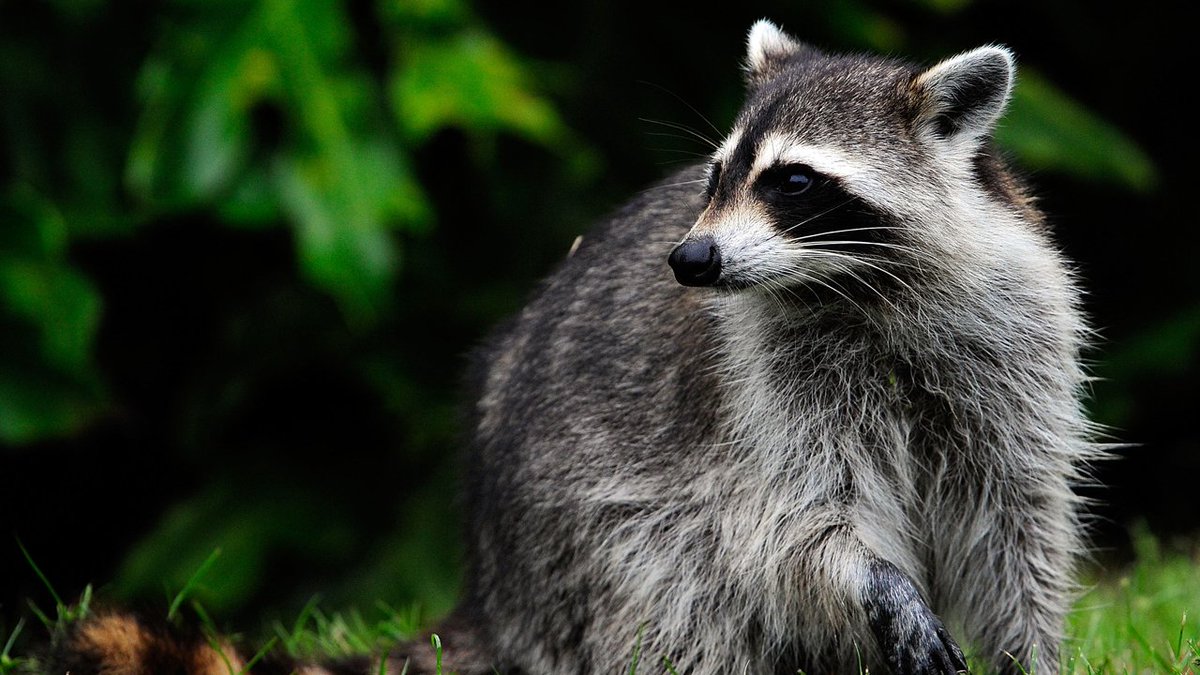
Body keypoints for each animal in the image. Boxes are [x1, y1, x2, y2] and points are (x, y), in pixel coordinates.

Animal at [47, 20, 1096, 675]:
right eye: (715, 176)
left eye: (793, 182)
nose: (690, 258)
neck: (858, 286)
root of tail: (491, 589)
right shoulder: (762, 392)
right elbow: (790, 526)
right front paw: (876, 581)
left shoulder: (1015, 340)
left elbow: (1018, 522)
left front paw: (1030, 651)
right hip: (584, 543)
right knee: (683, 600)